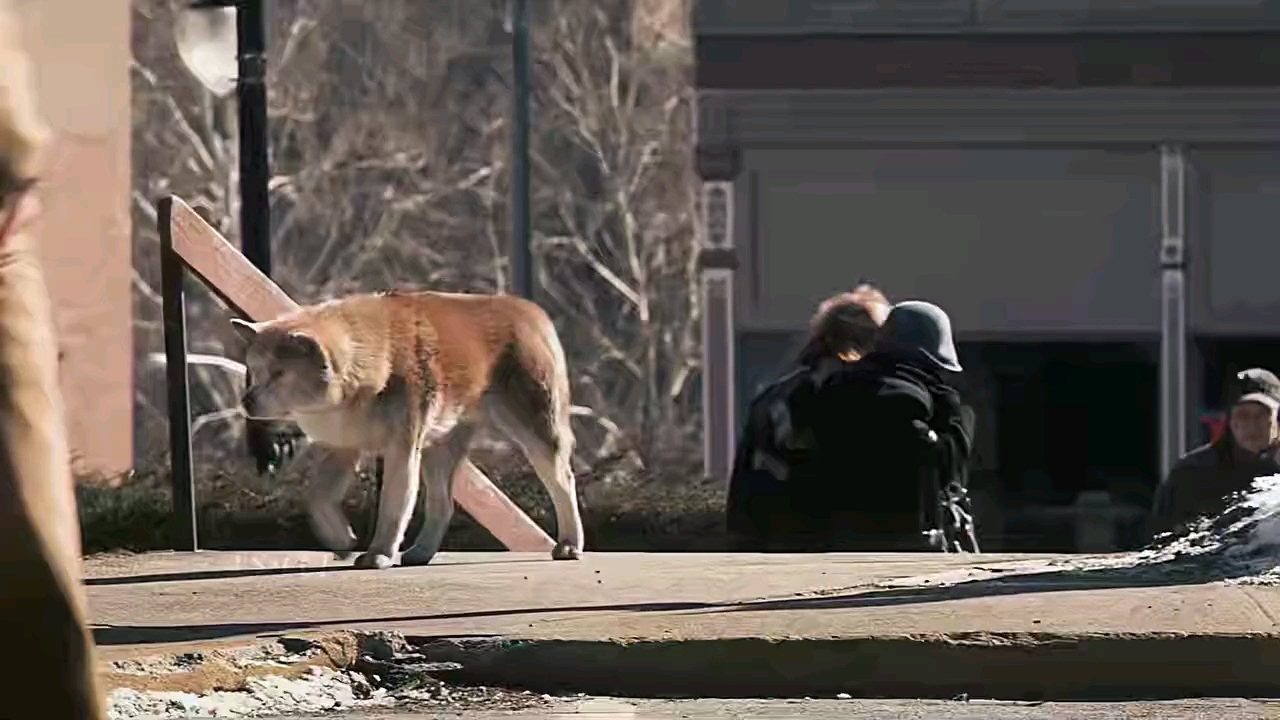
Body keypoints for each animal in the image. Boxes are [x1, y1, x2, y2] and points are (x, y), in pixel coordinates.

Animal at [231, 285, 586, 566]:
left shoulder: (400, 449)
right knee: (443, 506)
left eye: (279, 374)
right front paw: (342, 539)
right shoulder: (343, 447)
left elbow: (393, 507)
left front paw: (379, 554)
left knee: (563, 482)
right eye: (254, 370)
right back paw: (421, 552)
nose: (246, 402)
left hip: (536, 433)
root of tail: (528, 309)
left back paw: (570, 544)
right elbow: (317, 498)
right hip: (439, 450)